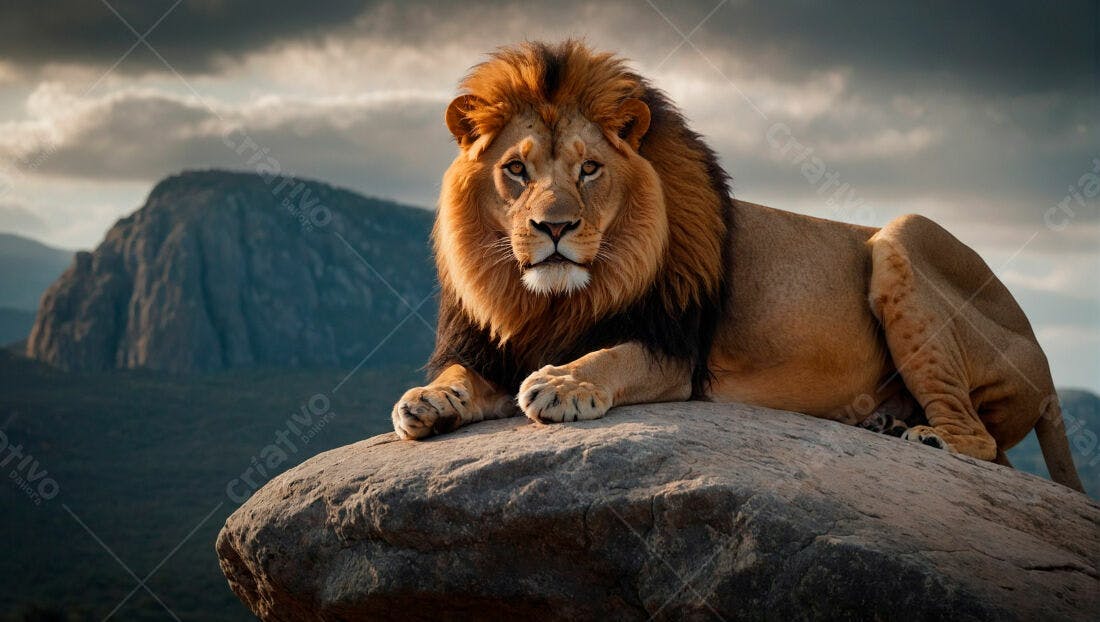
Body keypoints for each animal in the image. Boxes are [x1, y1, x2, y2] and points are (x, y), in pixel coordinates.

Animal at [390, 40, 1083, 492]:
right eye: (516, 169)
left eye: (589, 169)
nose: (554, 228)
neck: (551, 299)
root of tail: (1045, 360)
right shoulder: (495, 344)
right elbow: (461, 373)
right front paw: (427, 399)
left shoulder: (676, 352)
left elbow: (609, 356)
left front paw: (563, 384)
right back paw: (887, 421)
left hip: (902, 236)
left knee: (981, 442)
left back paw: (925, 436)